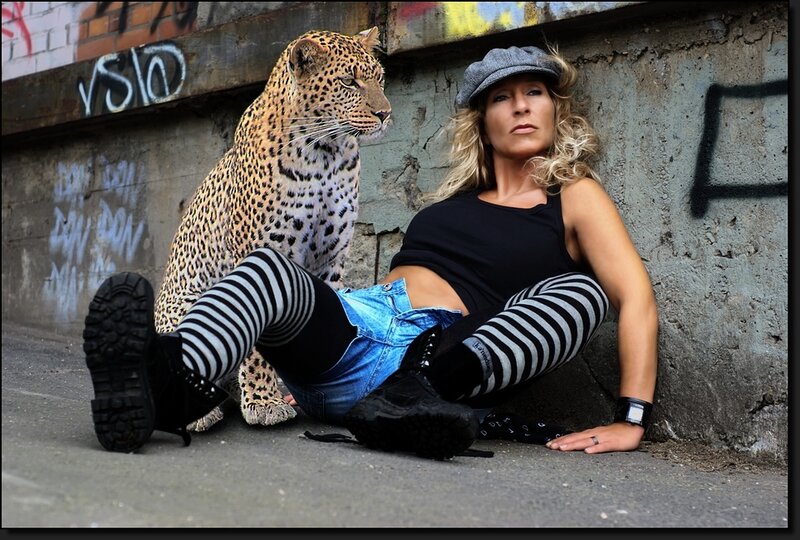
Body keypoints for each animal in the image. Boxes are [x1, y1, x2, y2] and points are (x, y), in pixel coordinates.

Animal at [154, 27, 391, 432]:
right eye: (349, 81)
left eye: (380, 78)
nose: (385, 113)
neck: (324, 154)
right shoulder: (261, 251)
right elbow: (259, 338)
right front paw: (264, 403)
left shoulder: (329, 258)